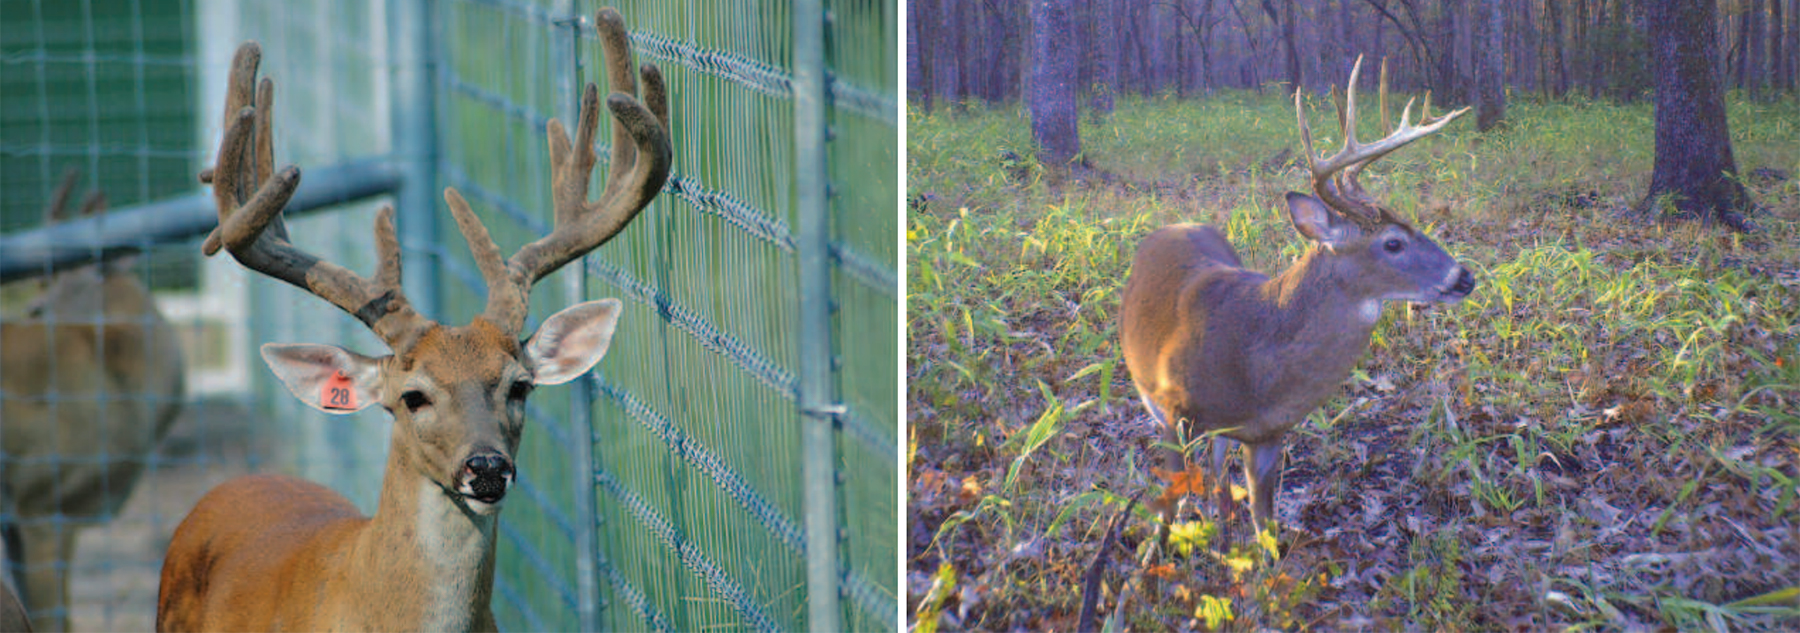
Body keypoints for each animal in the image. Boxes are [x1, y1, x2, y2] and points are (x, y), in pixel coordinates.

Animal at [1123, 56, 1476, 535]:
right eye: (1393, 243)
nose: (1464, 277)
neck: (1253, 361)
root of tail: (1173, 226)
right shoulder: (1170, 412)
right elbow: (1170, 508)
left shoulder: (1269, 432)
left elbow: (1264, 525)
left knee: (1218, 483)